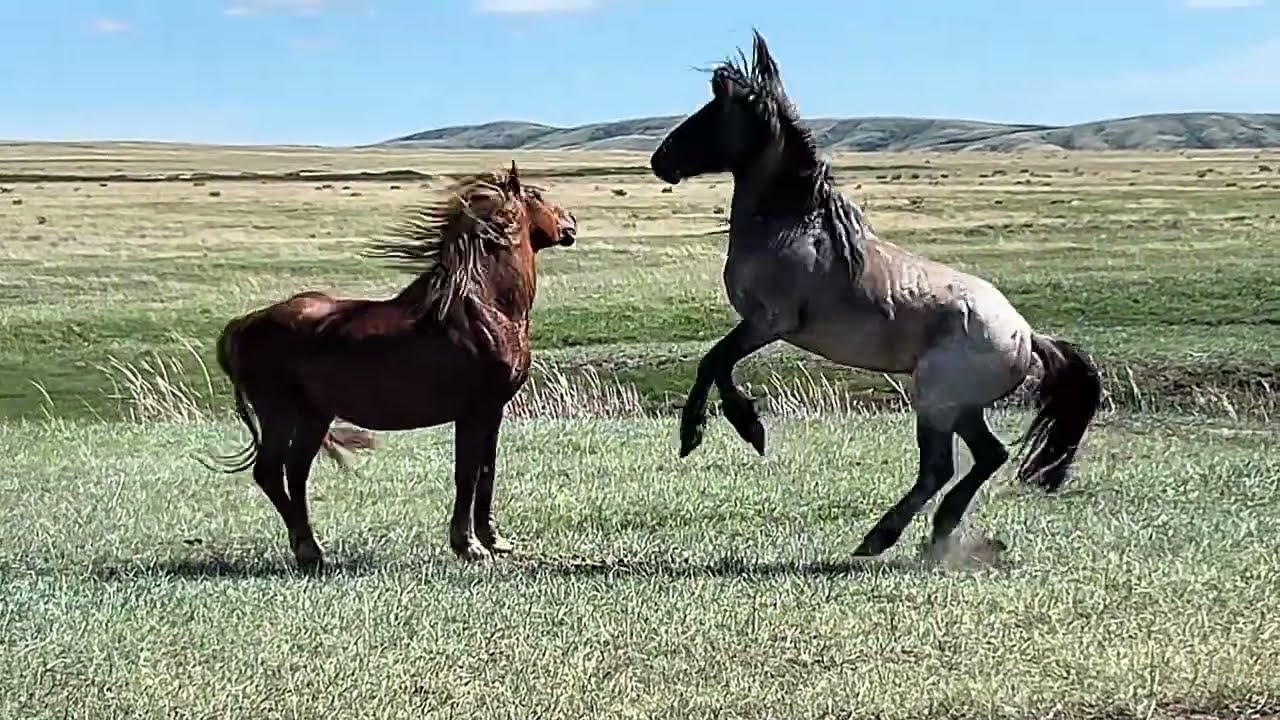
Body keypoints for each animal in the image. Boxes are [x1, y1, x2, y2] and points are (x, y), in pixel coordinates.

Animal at [202, 161, 578, 570]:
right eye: (537, 195)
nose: (571, 222)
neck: (486, 308)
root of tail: (246, 323)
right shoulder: (474, 410)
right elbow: (466, 473)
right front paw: (468, 545)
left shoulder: (492, 411)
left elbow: (486, 472)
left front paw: (493, 540)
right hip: (280, 413)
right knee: (271, 473)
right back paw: (309, 551)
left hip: (314, 415)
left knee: (295, 473)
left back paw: (311, 551)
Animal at [648, 31, 1103, 559]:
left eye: (713, 113)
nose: (660, 160)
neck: (792, 228)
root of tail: (1028, 337)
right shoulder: (761, 325)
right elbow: (719, 364)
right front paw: (742, 428)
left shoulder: (769, 321)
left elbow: (714, 361)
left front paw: (716, 432)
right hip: (960, 408)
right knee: (988, 456)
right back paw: (933, 533)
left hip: (936, 402)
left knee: (940, 468)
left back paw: (882, 538)